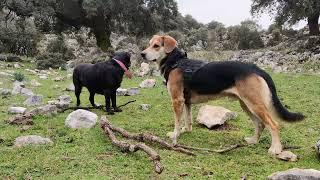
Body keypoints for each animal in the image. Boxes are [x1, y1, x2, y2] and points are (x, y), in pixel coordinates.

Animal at [141, 34, 304, 155]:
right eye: (148, 44)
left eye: (156, 46)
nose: (142, 54)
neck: (176, 62)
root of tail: (256, 69)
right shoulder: (186, 102)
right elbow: (187, 121)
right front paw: (185, 131)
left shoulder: (177, 100)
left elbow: (177, 121)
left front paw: (175, 135)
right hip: (246, 104)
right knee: (260, 124)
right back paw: (253, 141)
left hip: (254, 104)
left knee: (273, 124)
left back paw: (275, 148)